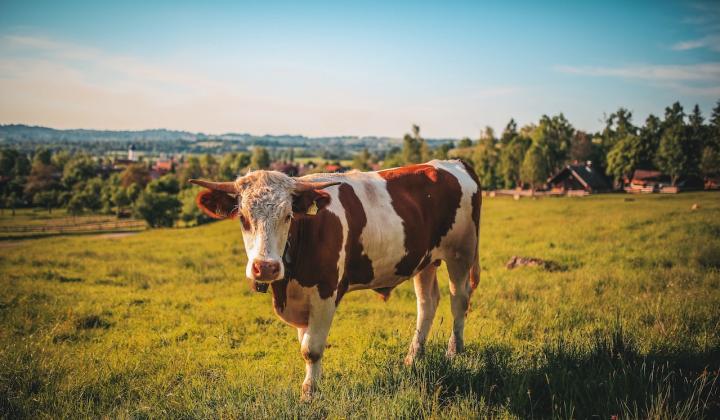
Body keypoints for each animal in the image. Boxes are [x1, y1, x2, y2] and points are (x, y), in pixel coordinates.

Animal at [191, 159, 480, 398]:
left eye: (288, 216)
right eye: (243, 218)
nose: (265, 267)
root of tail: (452, 162)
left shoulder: (325, 293)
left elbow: (311, 349)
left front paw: (309, 394)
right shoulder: (302, 301)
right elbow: (304, 342)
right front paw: (311, 385)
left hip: (461, 252)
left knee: (459, 300)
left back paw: (454, 352)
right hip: (425, 260)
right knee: (427, 303)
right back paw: (413, 357)